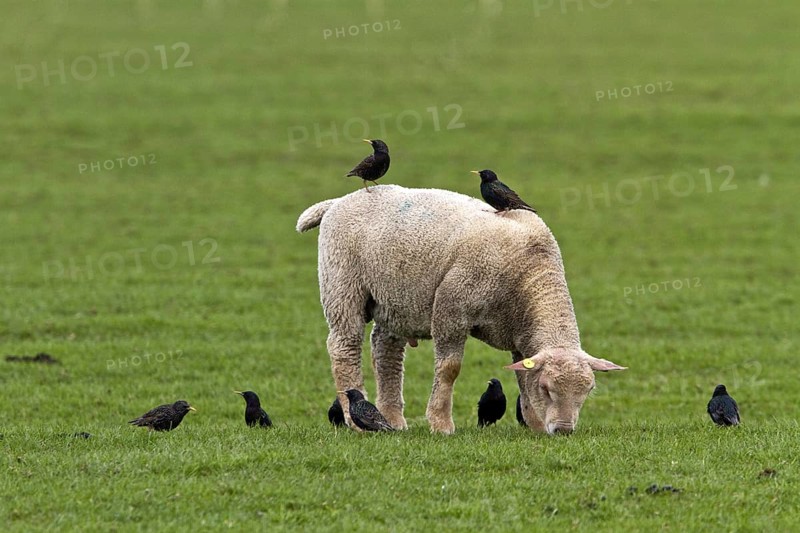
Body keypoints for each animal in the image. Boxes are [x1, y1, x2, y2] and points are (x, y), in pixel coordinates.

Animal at [296, 185, 626, 434]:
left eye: (588, 392)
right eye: (547, 388)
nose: (563, 430)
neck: (530, 275)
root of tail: (338, 201)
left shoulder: (521, 337)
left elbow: (522, 377)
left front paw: (532, 424)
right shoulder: (452, 308)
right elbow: (449, 369)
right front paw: (441, 424)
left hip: (394, 299)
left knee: (386, 350)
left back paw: (393, 419)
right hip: (342, 284)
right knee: (344, 346)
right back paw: (355, 419)